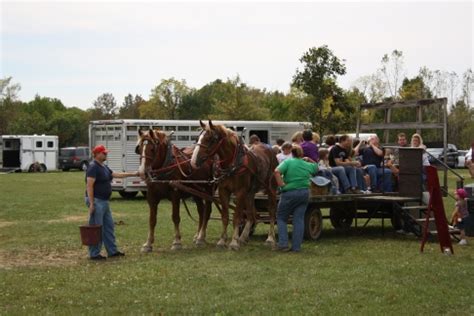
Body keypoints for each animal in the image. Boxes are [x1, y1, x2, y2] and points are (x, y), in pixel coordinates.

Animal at [189, 119, 278, 251]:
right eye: (197, 138)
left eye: (210, 139)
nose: (193, 161)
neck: (232, 164)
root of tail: (270, 149)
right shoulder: (223, 191)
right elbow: (225, 216)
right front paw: (222, 241)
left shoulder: (240, 192)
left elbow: (237, 216)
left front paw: (234, 242)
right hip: (250, 193)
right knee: (251, 215)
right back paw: (243, 238)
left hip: (271, 189)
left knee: (272, 211)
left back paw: (270, 238)